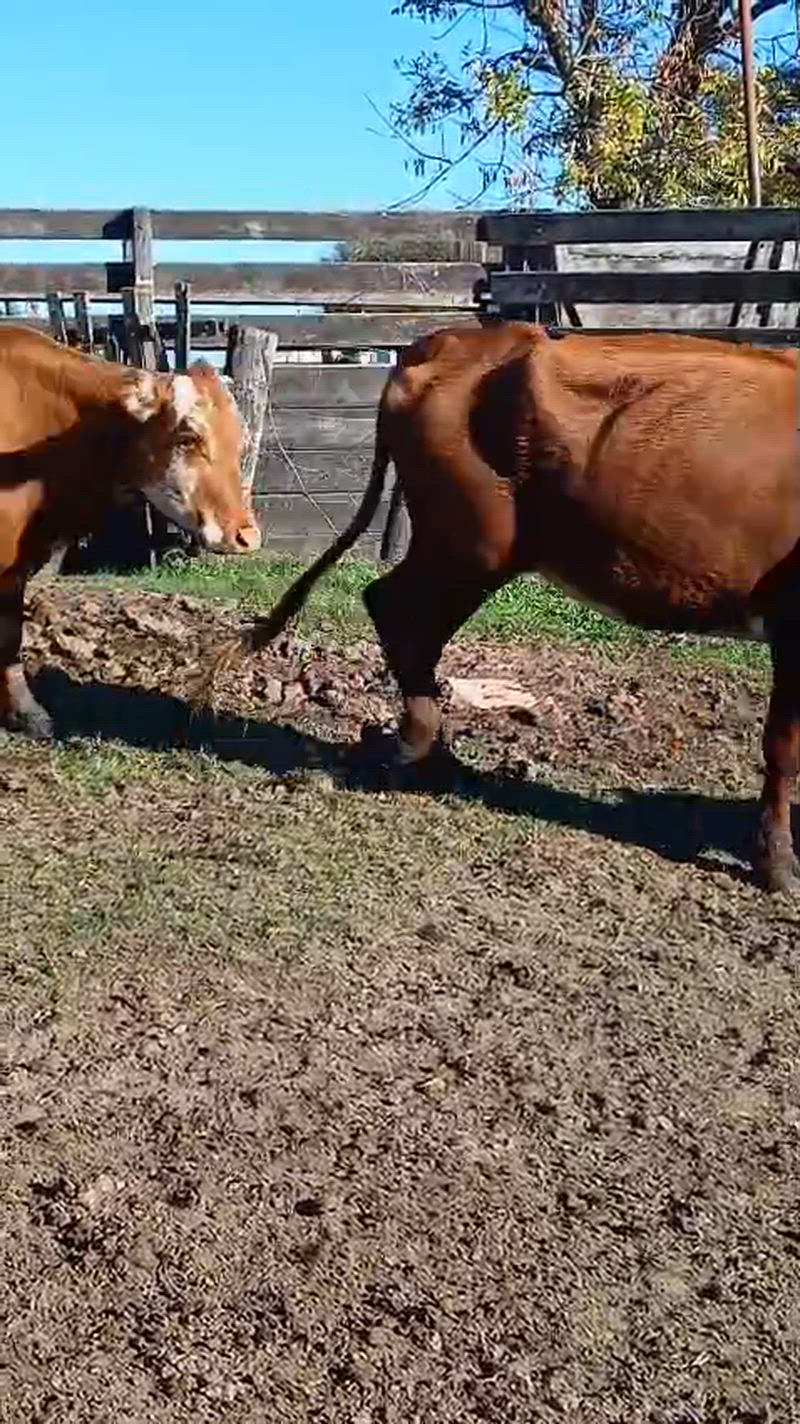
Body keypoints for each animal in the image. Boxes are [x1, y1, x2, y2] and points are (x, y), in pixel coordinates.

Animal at [207, 322, 799, 893]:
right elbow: (783, 746)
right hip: (474, 542)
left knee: (406, 620)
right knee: (396, 609)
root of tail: (458, 339)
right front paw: (775, 862)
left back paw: (434, 755)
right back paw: (419, 749)